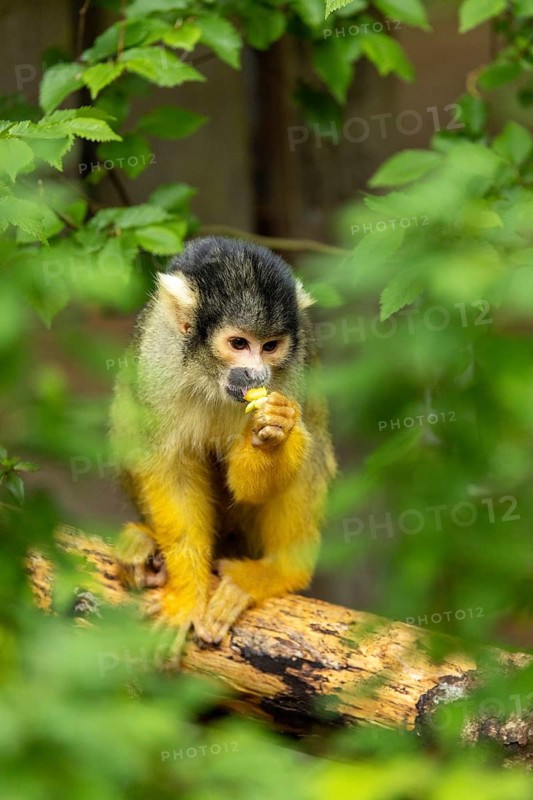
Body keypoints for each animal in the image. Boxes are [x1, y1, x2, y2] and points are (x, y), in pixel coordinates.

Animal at [110, 236, 336, 649]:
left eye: (270, 347)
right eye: (238, 343)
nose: (256, 374)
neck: (209, 376)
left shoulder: (290, 376)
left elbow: (251, 486)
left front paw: (273, 433)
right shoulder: (158, 356)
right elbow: (169, 467)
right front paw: (187, 596)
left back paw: (281, 571)